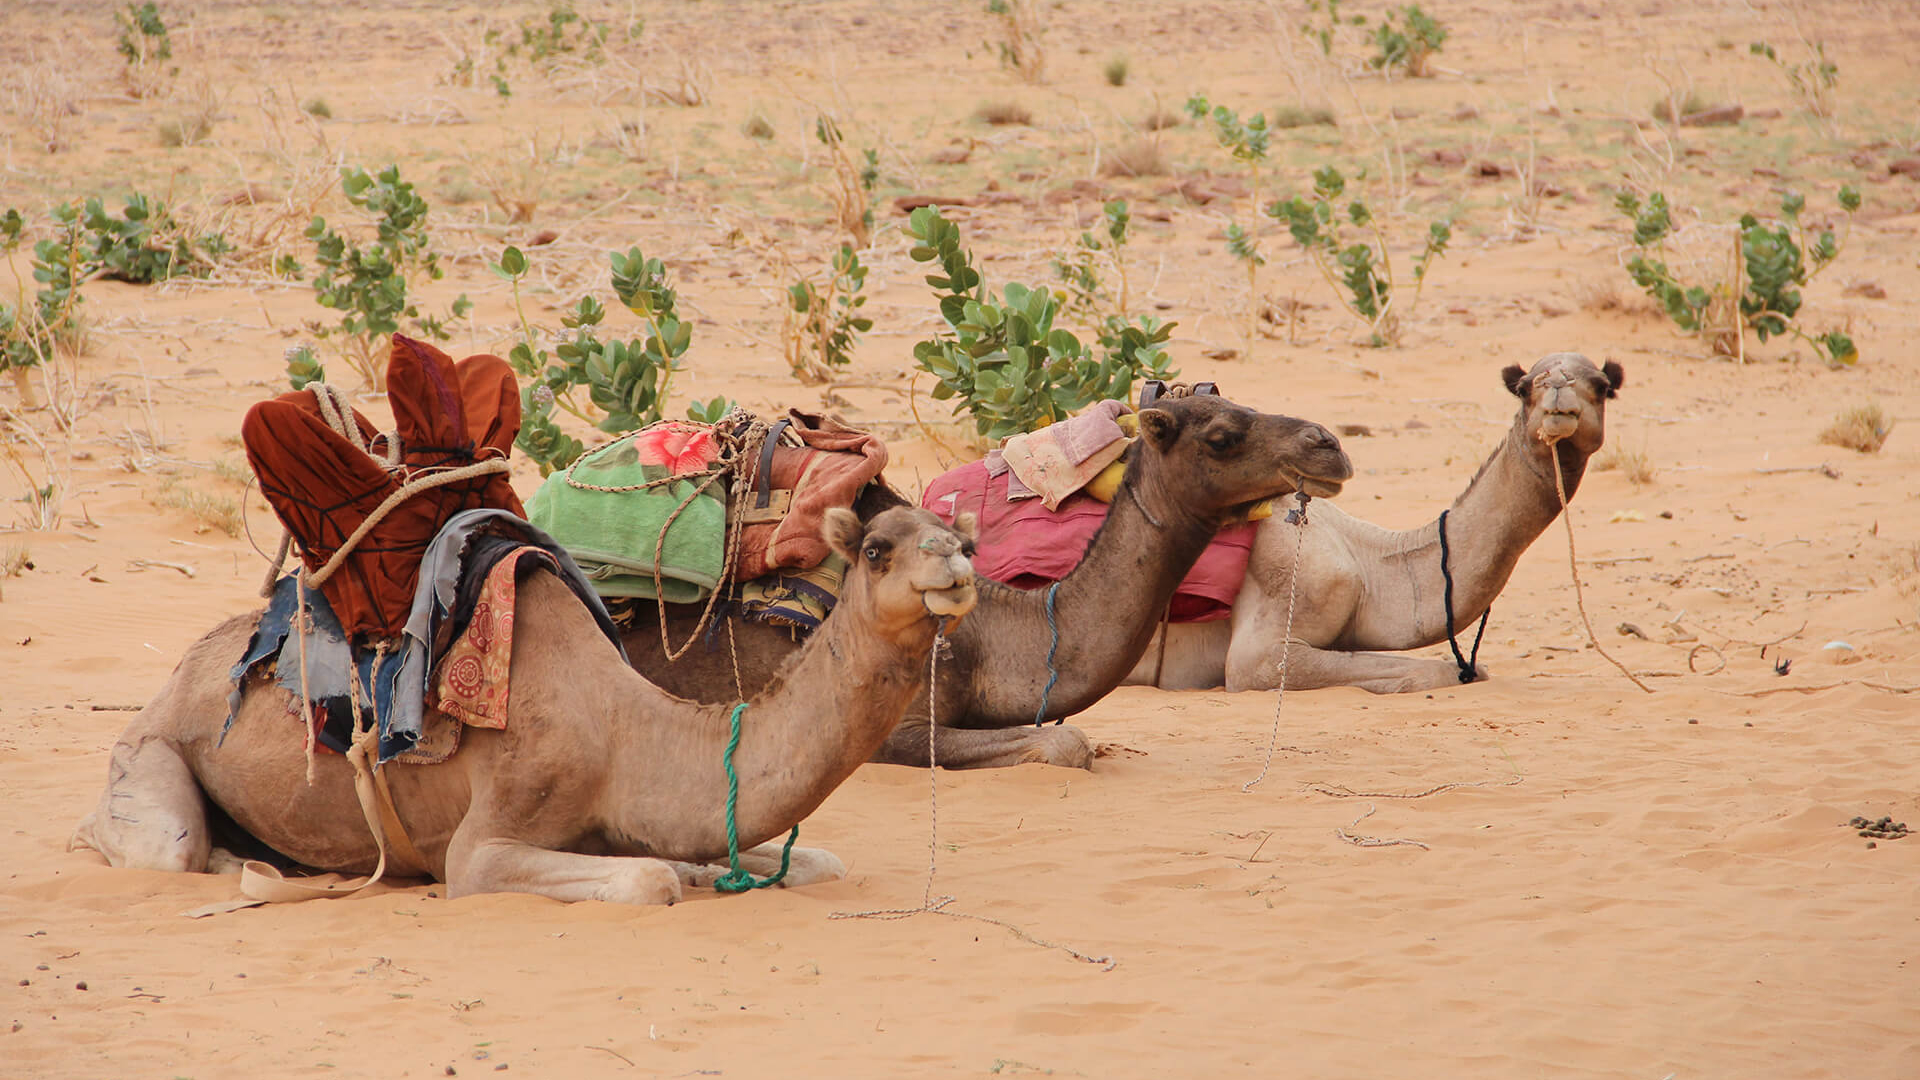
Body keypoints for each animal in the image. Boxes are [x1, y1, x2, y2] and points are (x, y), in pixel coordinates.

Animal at [71, 507, 978, 905]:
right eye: (876, 549)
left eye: (958, 533)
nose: (957, 562)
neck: (626, 734)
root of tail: (177, 677)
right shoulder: (483, 842)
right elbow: (648, 880)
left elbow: (811, 859)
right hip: (151, 749)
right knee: (162, 847)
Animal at [1122, 352, 1625, 694]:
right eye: (1524, 387)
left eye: (1602, 386)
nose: (1558, 395)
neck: (1366, 564)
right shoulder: (1271, 633)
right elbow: (1432, 671)